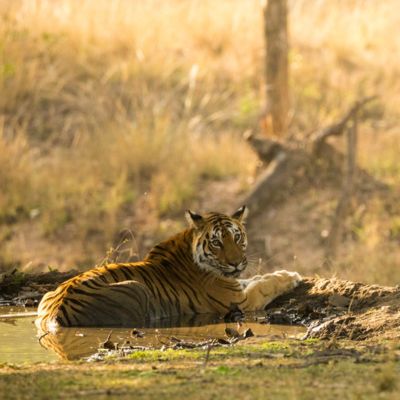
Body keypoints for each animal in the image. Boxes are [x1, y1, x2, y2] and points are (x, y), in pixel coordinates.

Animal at [36, 206, 302, 332]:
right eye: (217, 242)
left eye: (237, 237)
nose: (236, 263)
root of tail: (56, 314)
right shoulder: (239, 299)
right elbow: (264, 285)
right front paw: (290, 275)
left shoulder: (235, 283)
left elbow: (256, 278)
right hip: (137, 290)